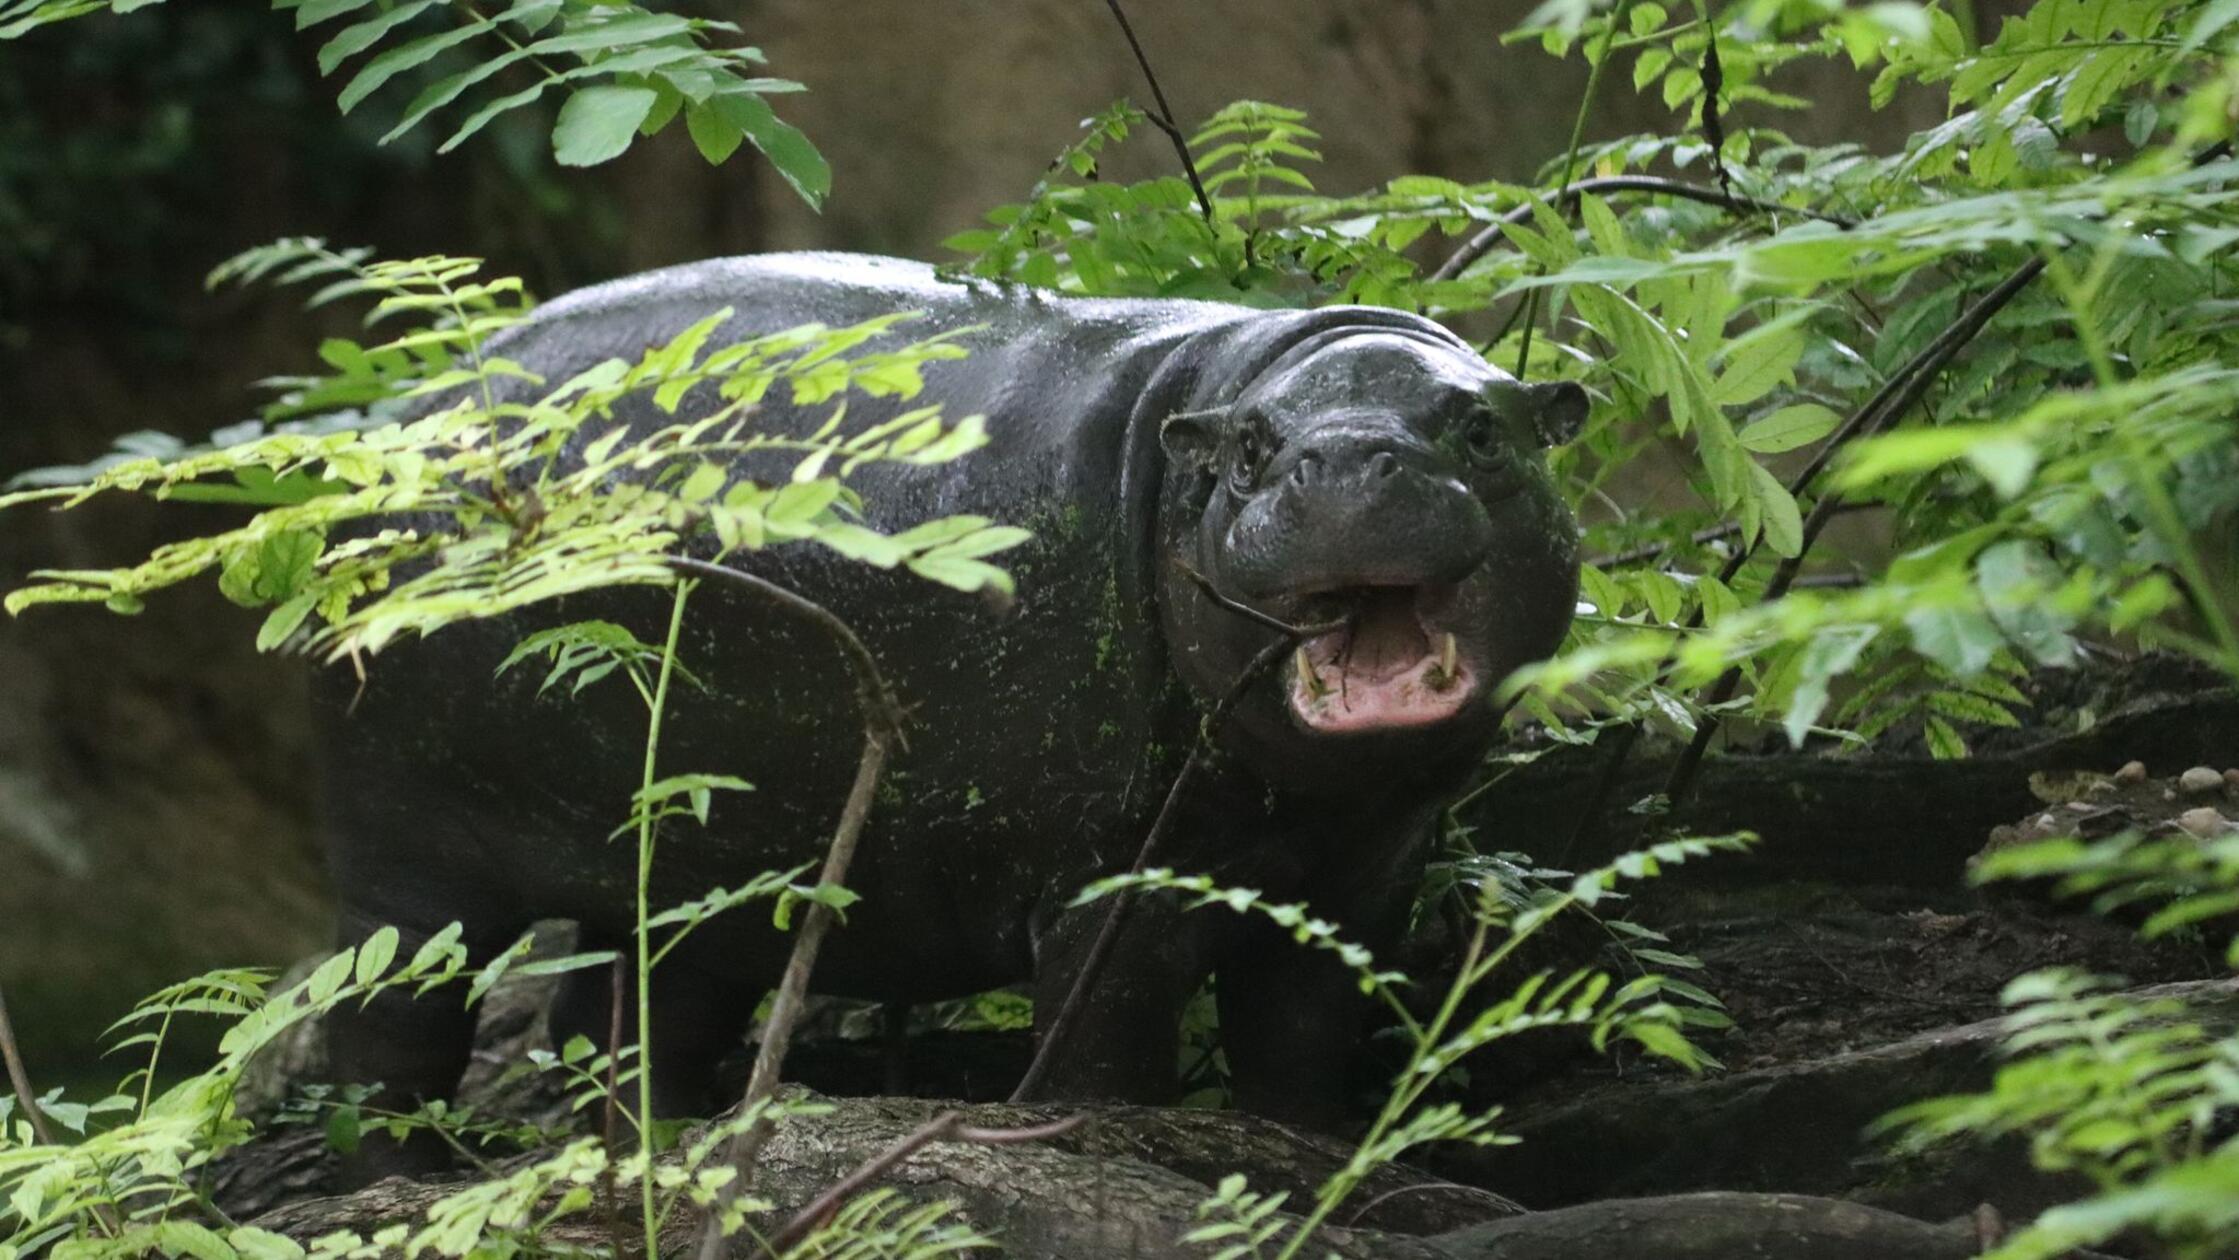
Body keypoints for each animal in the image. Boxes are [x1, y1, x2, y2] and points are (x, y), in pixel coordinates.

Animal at [321, 252, 1583, 1147]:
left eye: (1483, 427)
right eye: (1249, 453)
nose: (1347, 460)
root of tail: (398, 416)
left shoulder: (1361, 875)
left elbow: (1303, 1037)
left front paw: (1311, 1145)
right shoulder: (1110, 880)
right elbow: (1106, 1045)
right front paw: (1107, 1141)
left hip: (690, 864)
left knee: (634, 1021)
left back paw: (655, 1147)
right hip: (404, 859)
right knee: (388, 1025)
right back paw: (401, 1167)